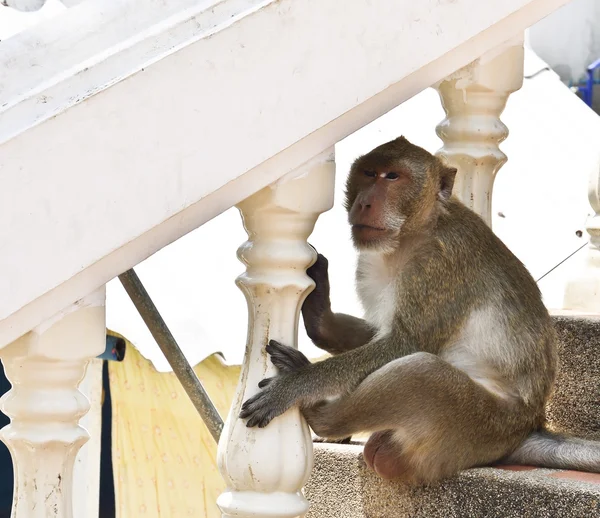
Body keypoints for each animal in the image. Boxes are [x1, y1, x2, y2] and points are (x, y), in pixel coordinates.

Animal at [239, 136, 600, 486]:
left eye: (392, 177)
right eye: (368, 173)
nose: (365, 202)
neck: (413, 233)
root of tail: (527, 427)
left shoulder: (438, 264)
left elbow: (403, 344)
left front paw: (298, 384)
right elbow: (379, 334)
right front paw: (321, 319)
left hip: (479, 426)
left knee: (420, 372)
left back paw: (320, 416)